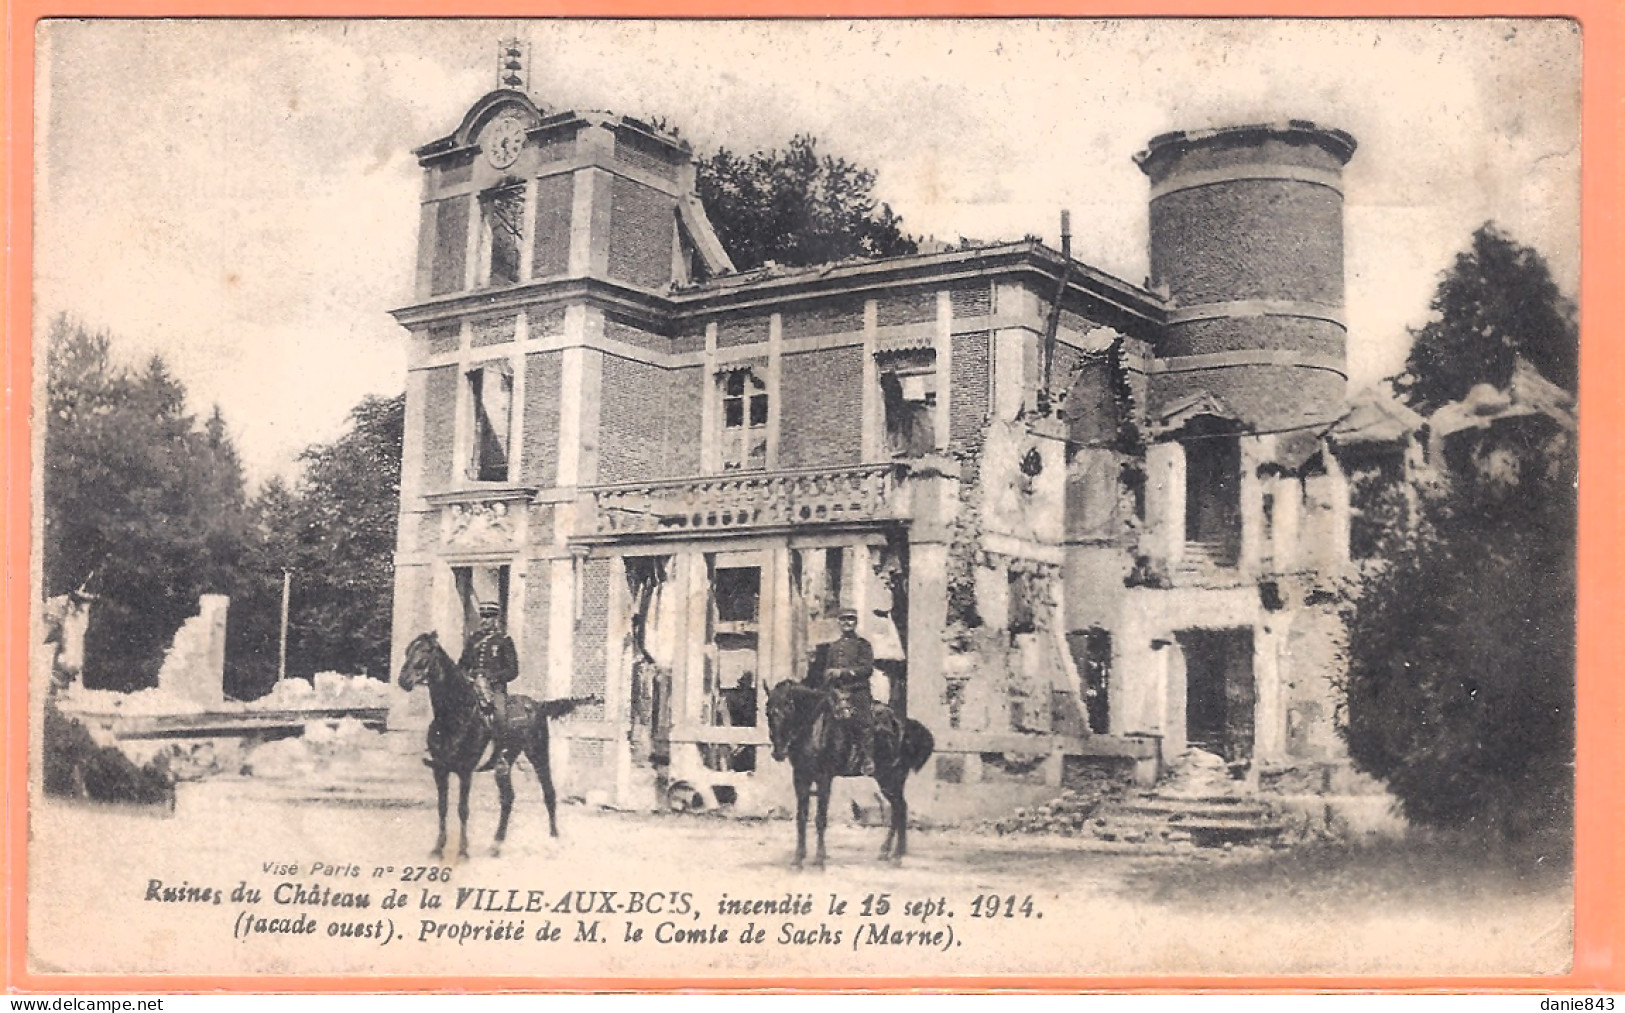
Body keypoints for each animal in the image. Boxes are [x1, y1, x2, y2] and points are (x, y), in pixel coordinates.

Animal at [398, 634, 601, 858]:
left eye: (425, 651)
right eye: (407, 650)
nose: (403, 680)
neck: (454, 715)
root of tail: (538, 704)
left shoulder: (464, 771)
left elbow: (462, 809)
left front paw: (463, 851)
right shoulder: (440, 770)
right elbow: (442, 808)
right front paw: (438, 848)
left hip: (538, 753)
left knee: (548, 792)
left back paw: (554, 839)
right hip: (505, 762)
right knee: (508, 798)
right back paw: (496, 844)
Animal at [763, 676, 936, 865]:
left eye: (788, 708)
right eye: (768, 712)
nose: (778, 752)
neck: (815, 728)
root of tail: (905, 724)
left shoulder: (824, 778)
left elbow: (820, 819)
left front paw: (819, 859)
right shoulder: (801, 777)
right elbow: (801, 818)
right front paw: (798, 858)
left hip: (890, 779)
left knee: (899, 808)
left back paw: (895, 854)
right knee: (900, 809)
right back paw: (891, 852)